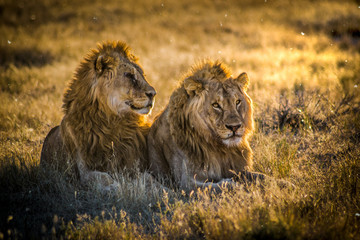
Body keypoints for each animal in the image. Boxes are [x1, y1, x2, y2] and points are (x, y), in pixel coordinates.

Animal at [41, 41, 156, 191]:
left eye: (143, 75)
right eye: (129, 75)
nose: (153, 94)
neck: (115, 123)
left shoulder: (134, 165)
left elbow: (148, 178)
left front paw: (167, 190)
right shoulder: (83, 171)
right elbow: (103, 178)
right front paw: (116, 188)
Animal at [148, 60, 266, 191]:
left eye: (237, 102)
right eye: (216, 105)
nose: (234, 127)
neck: (220, 148)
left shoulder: (239, 169)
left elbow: (263, 177)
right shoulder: (186, 183)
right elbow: (218, 186)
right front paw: (237, 186)